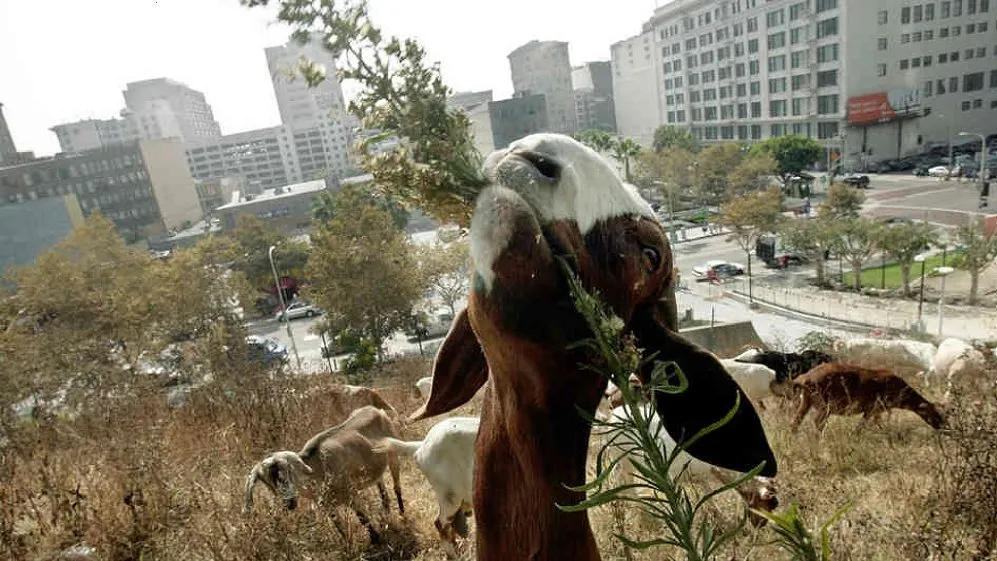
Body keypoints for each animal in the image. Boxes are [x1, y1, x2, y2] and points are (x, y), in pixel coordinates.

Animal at [244, 405, 405, 544]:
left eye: (288, 470)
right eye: (266, 481)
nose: (289, 502)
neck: (319, 470)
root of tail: (374, 409)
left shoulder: (351, 494)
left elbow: (362, 517)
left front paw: (376, 540)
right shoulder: (327, 505)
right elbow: (340, 527)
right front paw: (349, 544)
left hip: (393, 454)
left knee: (396, 486)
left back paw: (402, 513)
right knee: (382, 489)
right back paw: (386, 514)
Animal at [790, 363, 945, 434]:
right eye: (937, 414)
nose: (945, 427)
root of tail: (805, 378)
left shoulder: (876, 410)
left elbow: (875, 423)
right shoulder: (873, 408)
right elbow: (863, 425)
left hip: (806, 401)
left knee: (795, 421)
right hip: (825, 405)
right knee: (817, 422)